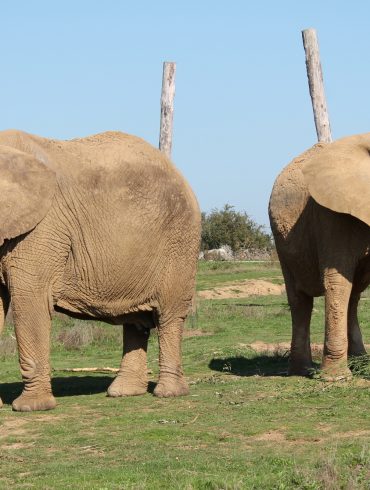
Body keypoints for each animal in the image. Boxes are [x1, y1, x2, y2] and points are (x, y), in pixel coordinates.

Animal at [0, 129, 201, 410]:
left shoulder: (42, 229)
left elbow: (32, 300)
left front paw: (30, 408)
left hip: (180, 242)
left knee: (169, 316)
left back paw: (169, 393)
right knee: (136, 321)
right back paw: (124, 392)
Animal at [268, 135, 370, 382]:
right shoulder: (330, 215)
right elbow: (336, 281)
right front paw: (337, 379)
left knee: (354, 294)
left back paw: (360, 362)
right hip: (283, 242)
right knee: (300, 300)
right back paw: (303, 371)